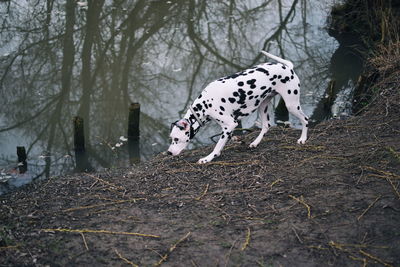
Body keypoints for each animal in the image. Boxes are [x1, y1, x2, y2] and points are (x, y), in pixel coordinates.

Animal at [167, 50, 308, 163]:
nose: (169, 152)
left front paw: (208, 158)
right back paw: (255, 143)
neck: (205, 104)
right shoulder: (229, 127)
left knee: (305, 120)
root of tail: (288, 67)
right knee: (266, 126)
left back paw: (303, 139)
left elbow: (217, 146)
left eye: (176, 139)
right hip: (262, 106)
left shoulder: (230, 125)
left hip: (291, 105)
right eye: (171, 138)